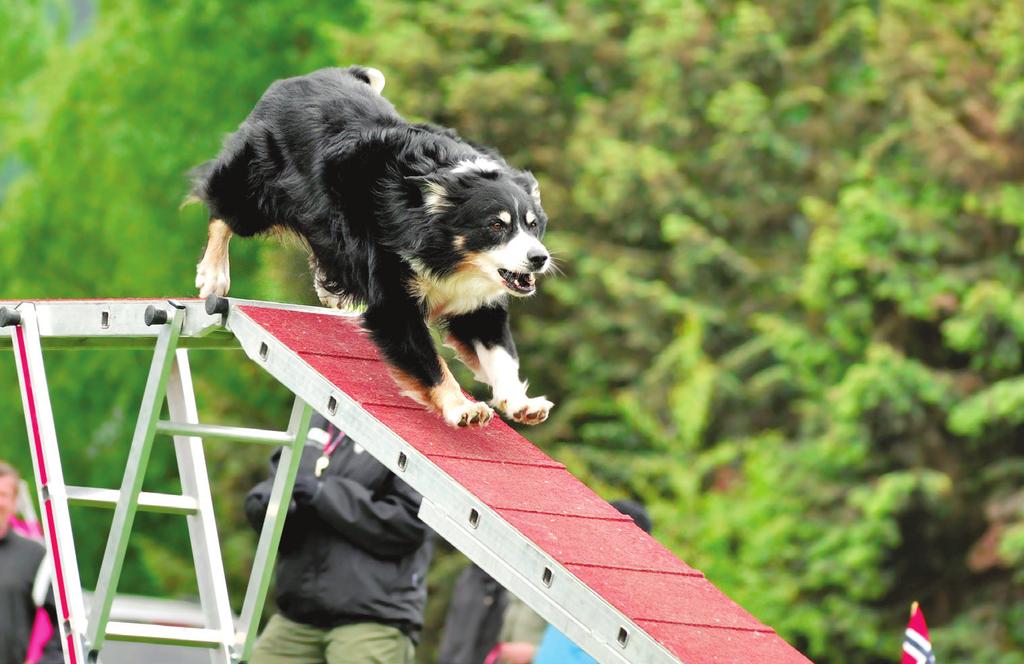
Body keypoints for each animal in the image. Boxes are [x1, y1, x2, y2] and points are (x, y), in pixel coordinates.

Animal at [194, 67, 557, 428]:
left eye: (532, 224)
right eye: (496, 225)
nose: (539, 258)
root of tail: (300, 79)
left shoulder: (475, 301)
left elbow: (501, 353)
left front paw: (520, 403)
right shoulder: (393, 290)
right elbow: (427, 358)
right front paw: (462, 409)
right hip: (257, 187)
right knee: (222, 213)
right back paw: (213, 276)